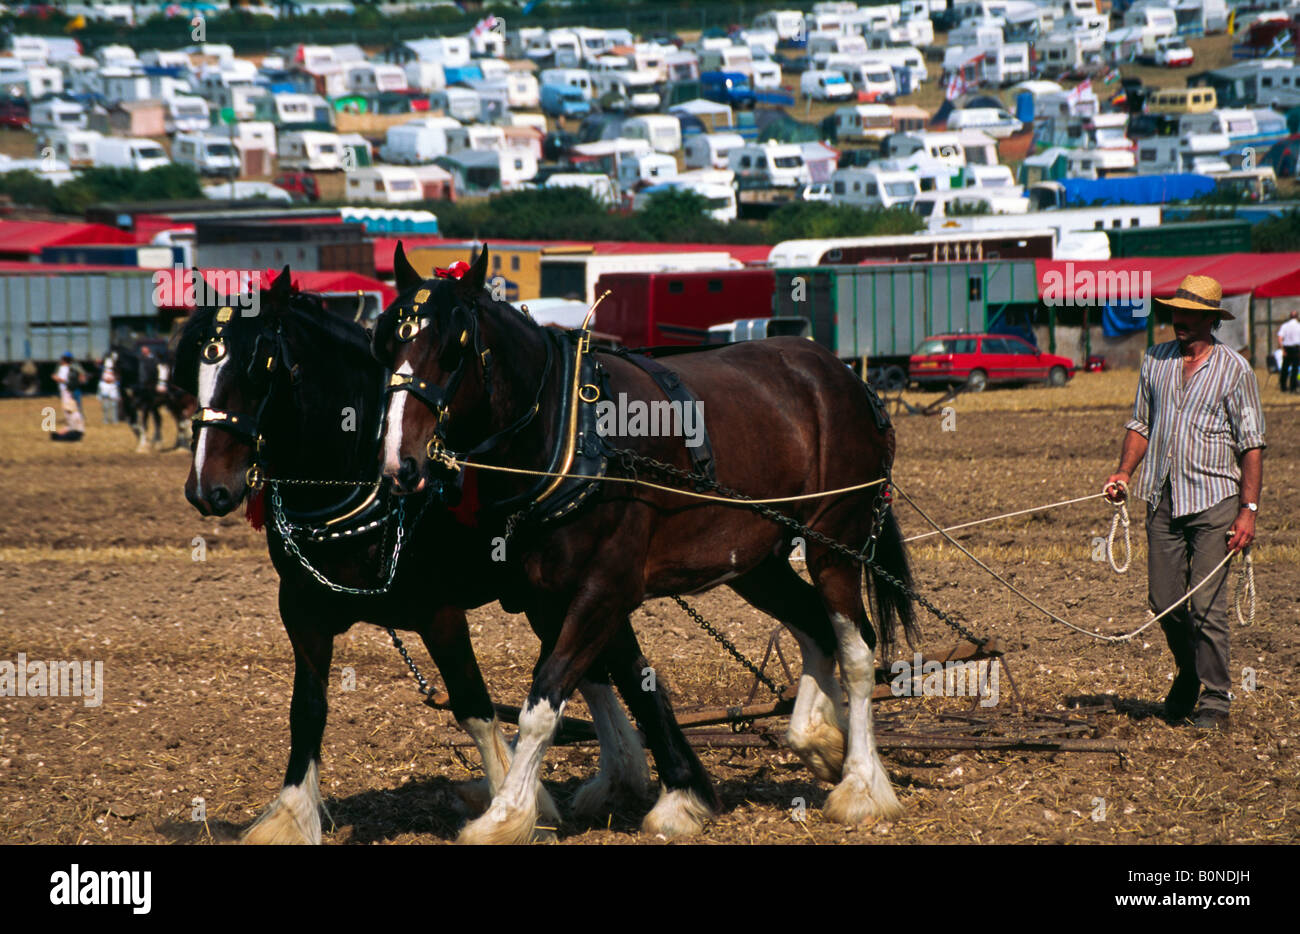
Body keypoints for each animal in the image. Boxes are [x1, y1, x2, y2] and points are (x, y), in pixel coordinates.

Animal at [172, 266, 650, 842]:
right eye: (192, 367)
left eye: (259, 367)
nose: (207, 489)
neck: (362, 474)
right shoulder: (302, 611)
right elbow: (307, 710)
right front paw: (289, 816)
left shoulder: (439, 614)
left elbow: (474, 706)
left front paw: (516, 808)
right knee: (598, 672)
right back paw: (621, 776)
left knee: (609, 666)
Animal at [371, 244, 920, 842]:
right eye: (385, 341)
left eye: (453, 350)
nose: (400, 465)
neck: (571, 432)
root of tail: (846, 376)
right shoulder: (547, 596)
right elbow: (612, 682)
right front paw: (665, 793)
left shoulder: (605, 588)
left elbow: (546, 700)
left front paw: (506, 815)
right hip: (757, 561)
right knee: (814, 624)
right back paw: (819, 741)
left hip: (836, 540)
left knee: (857, 648)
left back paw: (862, 784)